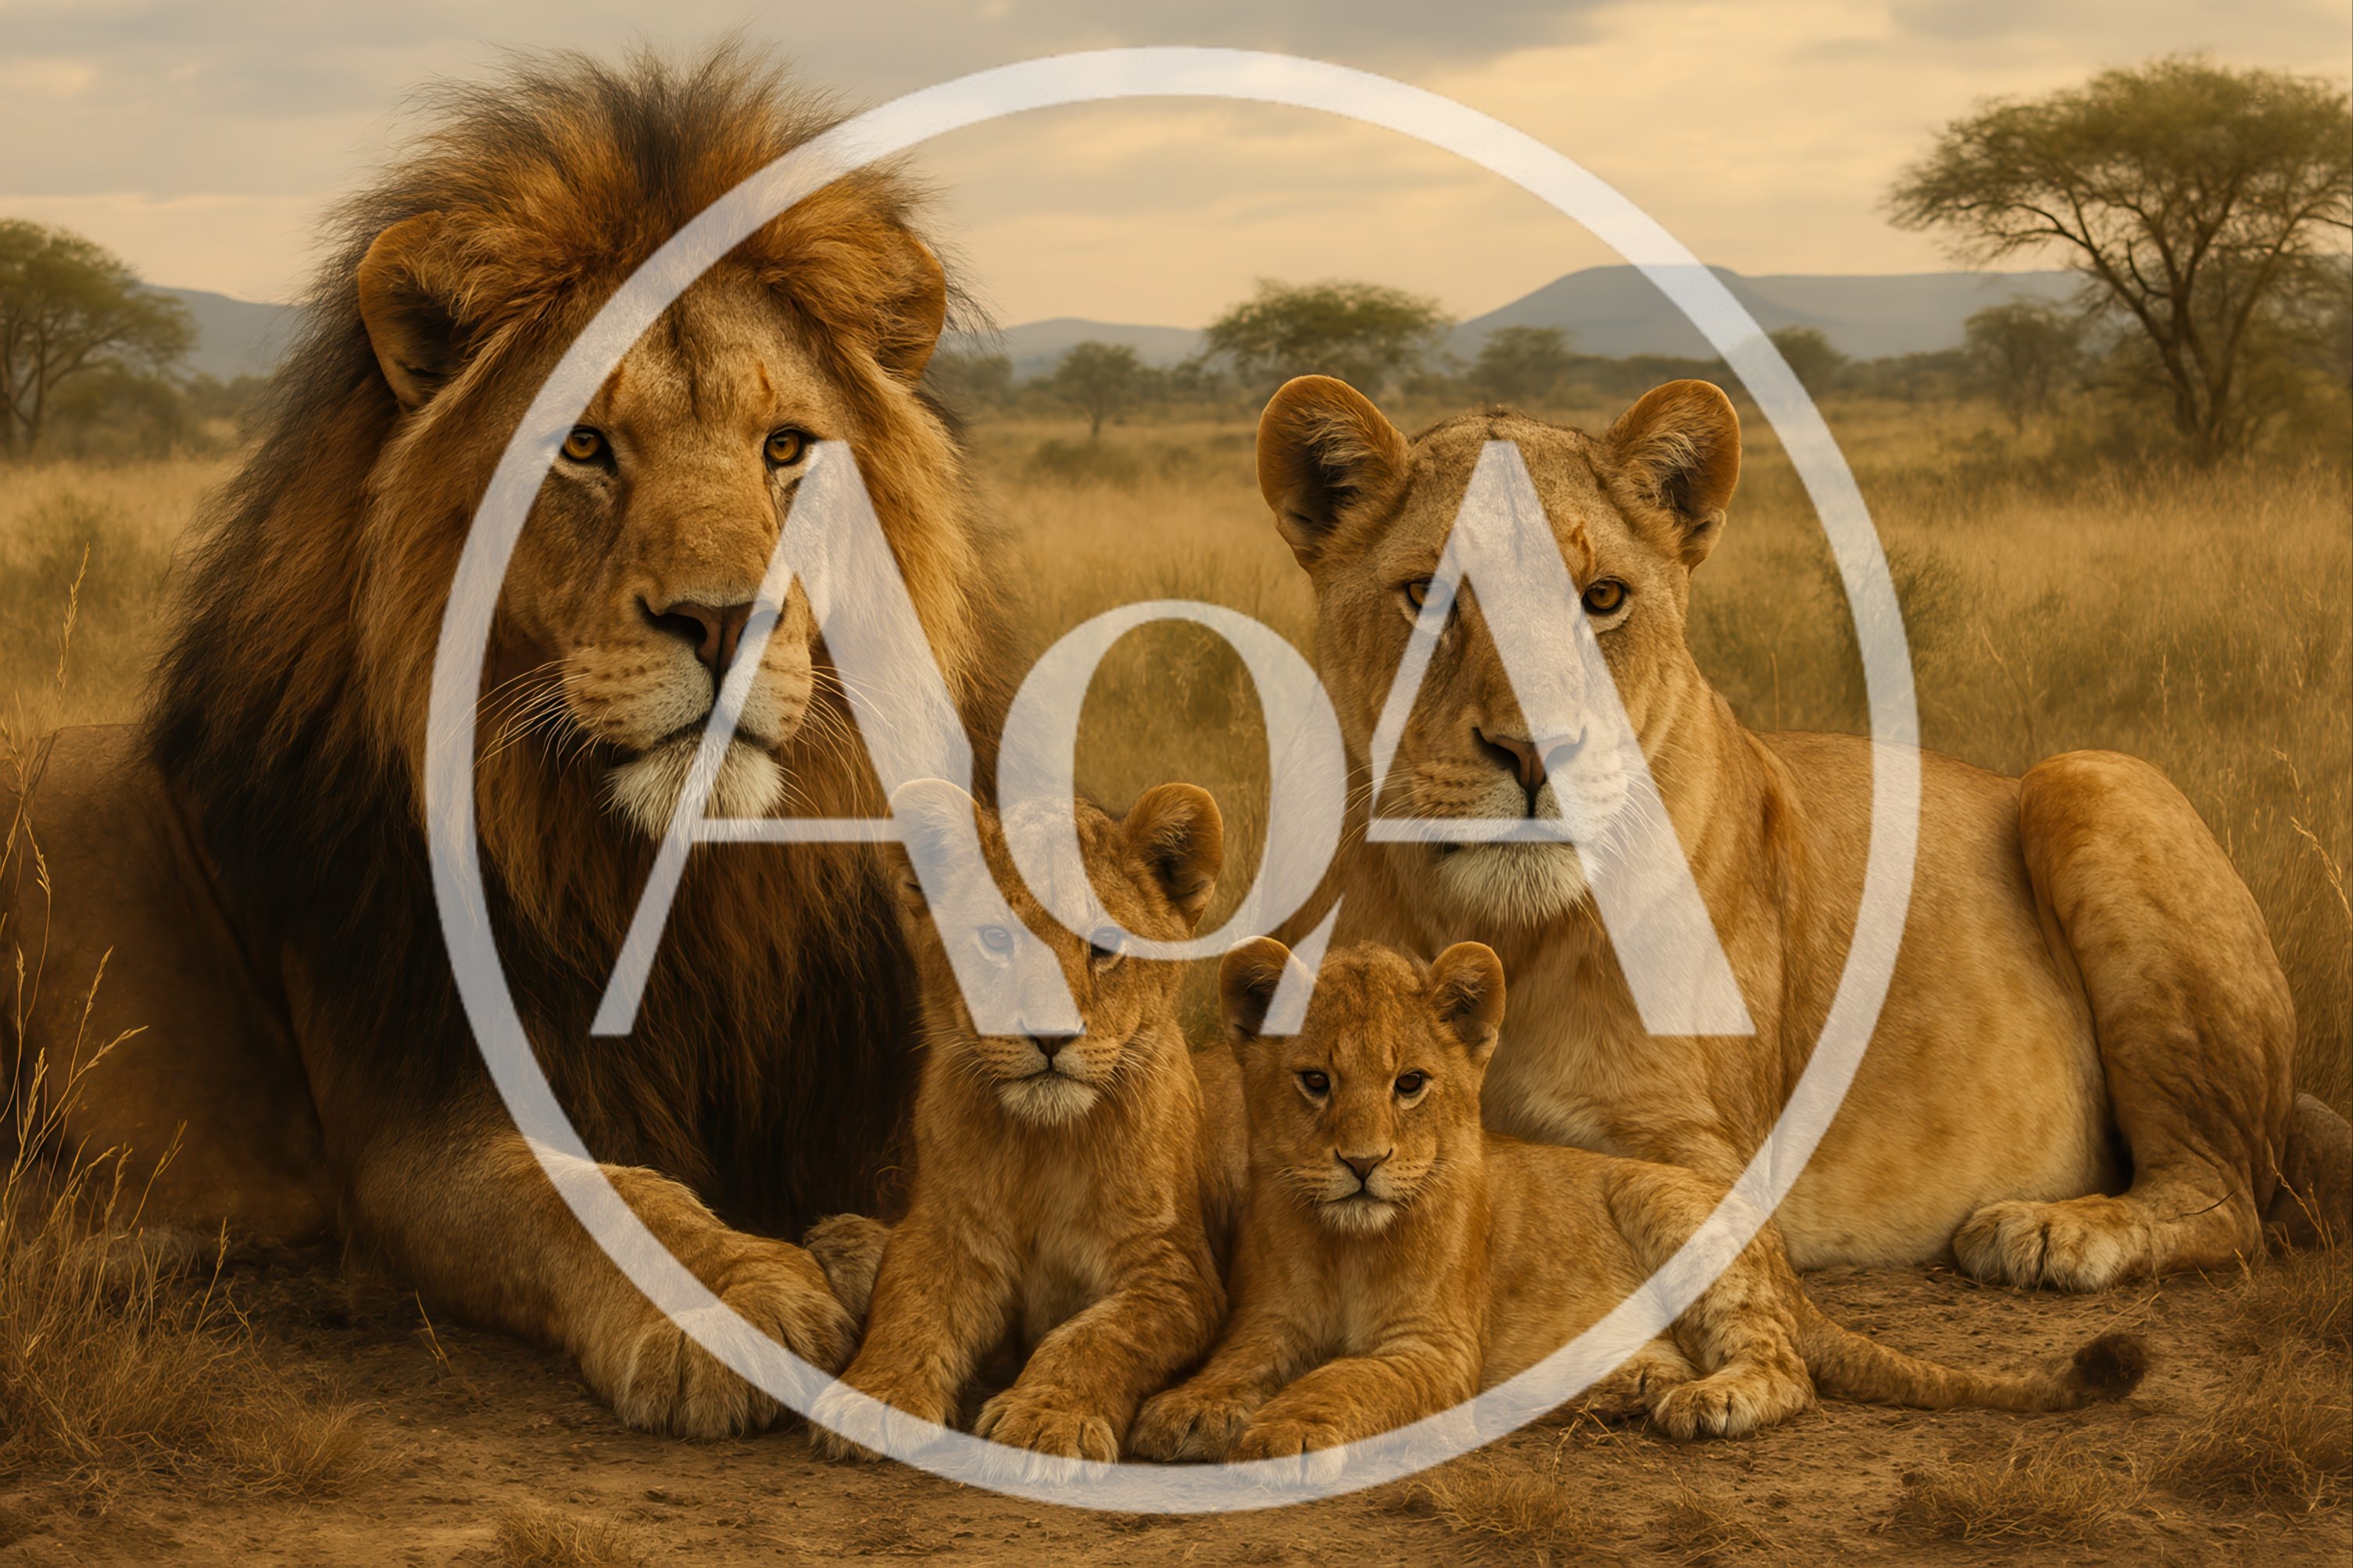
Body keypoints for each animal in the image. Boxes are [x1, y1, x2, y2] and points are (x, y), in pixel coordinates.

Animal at [0, 50, 1018, 1436]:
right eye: (584, 446)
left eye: (785, 447)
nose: (725, 618)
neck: (687, 886)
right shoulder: (414, 1121)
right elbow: (584, 1193)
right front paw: (733, 1296)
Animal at [804, 779, 1245, 1465]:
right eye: (996, 939)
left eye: (1103, 947)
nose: (1049, 1033)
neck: (1043, 1147)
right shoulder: (945, 1234)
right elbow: (908, 1308)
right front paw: (873, 1396)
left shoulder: (1174, 1275)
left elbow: (1095, 1336)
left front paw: (1046, 1419)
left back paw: (1199, 1417)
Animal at [1128, 938, 2149, 1466]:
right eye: (1313, 1082)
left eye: (1409, 1084)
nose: (1361, 1164)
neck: (1346, 1240)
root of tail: (1780, 1264)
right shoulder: (1267, 1323)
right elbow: (1232, 1367)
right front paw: (1183, 1412)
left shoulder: (1431, 1350)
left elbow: (1341, 1379)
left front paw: (1282, 1430)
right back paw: (1618, 1388)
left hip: (1666, 1206)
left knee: (1785, 1369)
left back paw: (1705, 1401)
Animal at [1254, 373, 2350, 1289]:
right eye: (1427, 596)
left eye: (1601, 598)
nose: (1535, 751)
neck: (1494, 932)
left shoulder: (1702, 1162)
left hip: (2093, 778)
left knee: (2225, 1197)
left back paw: (2048, 1230)